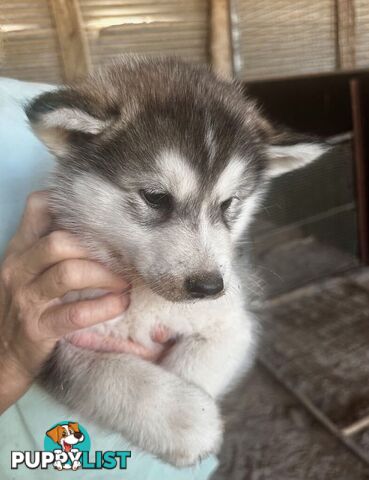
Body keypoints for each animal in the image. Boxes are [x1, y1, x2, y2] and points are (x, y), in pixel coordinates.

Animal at [25, 56, 326, 464]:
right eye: (155, 197)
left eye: (228, 204)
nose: (209, 286)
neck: (146, 298)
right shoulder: (52, 334)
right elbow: (109, 374)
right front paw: (184, 417)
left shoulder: (234, 321)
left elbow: (198, 365)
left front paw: (195, 406)